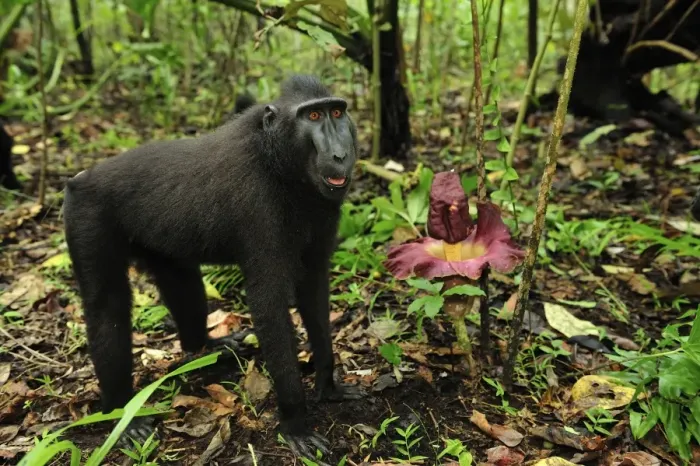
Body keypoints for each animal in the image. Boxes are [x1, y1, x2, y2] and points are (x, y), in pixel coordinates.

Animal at [62, 75, 364, 461]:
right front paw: (295, 424)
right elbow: (269, 308)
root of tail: (80, 178)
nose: (341, 154)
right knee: (107, 304)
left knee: (179, 276)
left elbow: (313, 291)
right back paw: (120, 414)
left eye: (337, 112)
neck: (278, 162)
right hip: (86, 217)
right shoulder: (259, 207)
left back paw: (207, 345)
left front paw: (328, 386)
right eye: (312, 116)